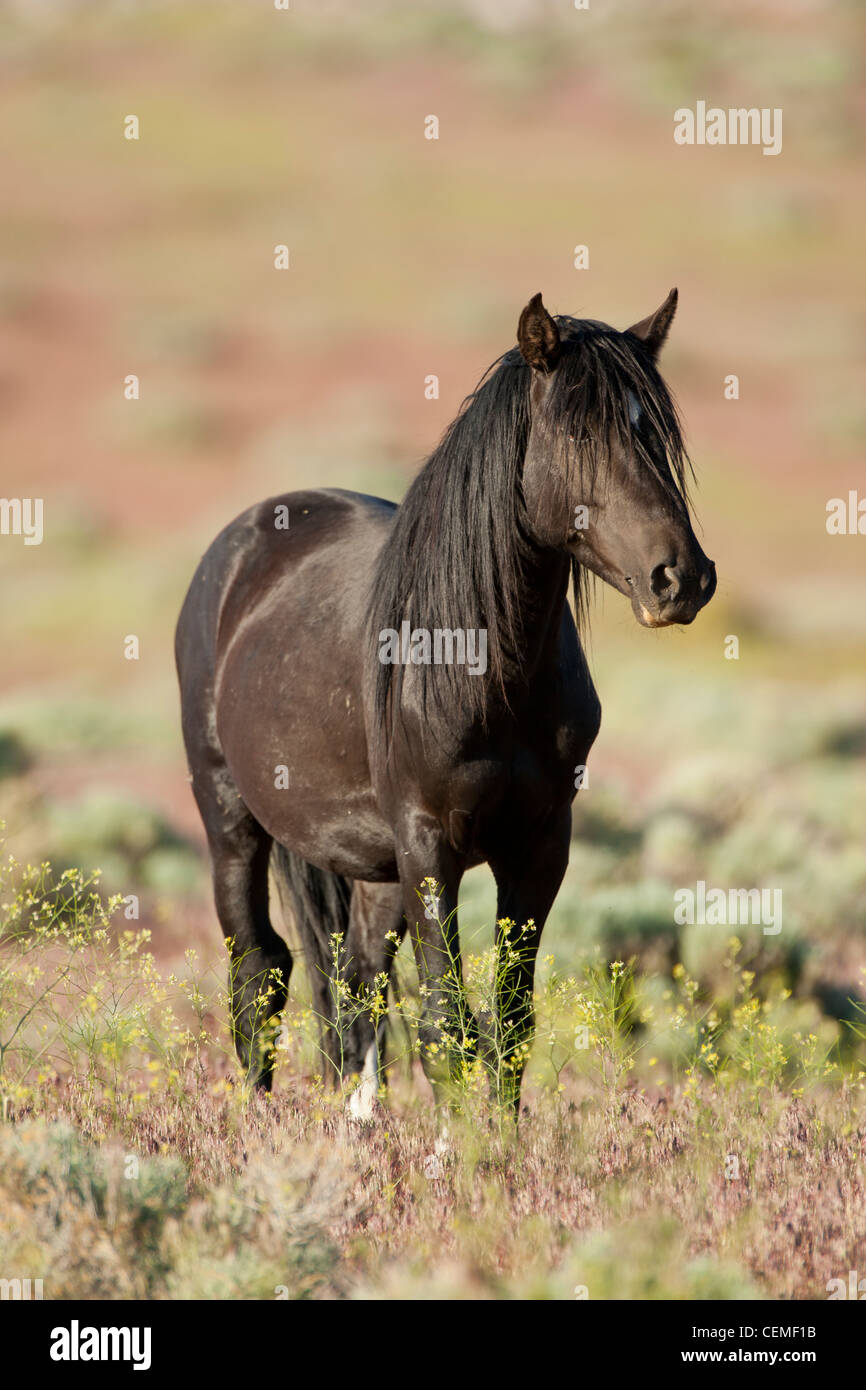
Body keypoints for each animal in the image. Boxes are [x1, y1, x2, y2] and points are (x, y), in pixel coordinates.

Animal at [175, 289, 716, 1116]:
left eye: (654, 430)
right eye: (577, 431)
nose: (681, 578)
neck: (484, 673)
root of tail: (242, 544)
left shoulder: (539, 845)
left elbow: (511, 1020)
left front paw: (500, 1139)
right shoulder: (431, 847)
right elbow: (445, 1024)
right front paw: (460, 1144)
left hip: (374, 866)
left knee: (357, 981)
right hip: (231, 818)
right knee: (258, 971)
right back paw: (258, 1120)